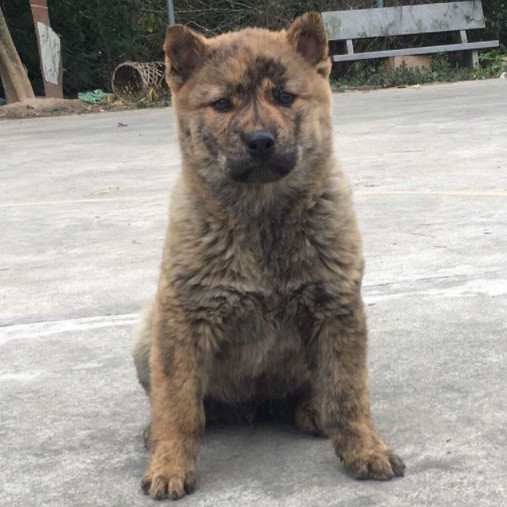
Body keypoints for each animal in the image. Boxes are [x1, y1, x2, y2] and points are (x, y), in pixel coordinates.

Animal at [133, 11, 406, 500]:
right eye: (223, 104)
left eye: (284, 97)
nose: (260, 140)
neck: (262, 221)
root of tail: (251, 409)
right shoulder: (183, 319)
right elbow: (178, 404)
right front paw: (169, 463)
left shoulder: (338, 310)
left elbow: (348, 393)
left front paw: (366, 448)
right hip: (148, 331)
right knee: (177, 401)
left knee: (314, 391)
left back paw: (313, 409)